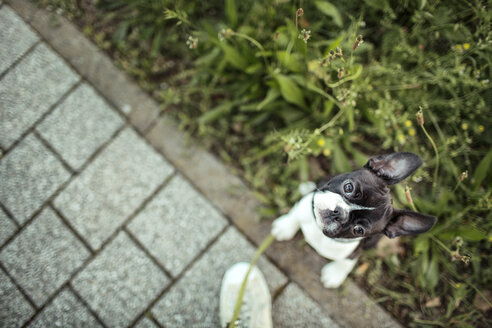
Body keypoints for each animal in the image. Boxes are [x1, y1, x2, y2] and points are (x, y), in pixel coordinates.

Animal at [270, 151, 436, 288]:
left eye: (358, 230)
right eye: (348, 187)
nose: (338, 213)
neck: (319, 231)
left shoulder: (355, 251)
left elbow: (347, 262)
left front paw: (335, 274)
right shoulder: (307, 205)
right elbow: (296, 213)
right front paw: (285, 226)